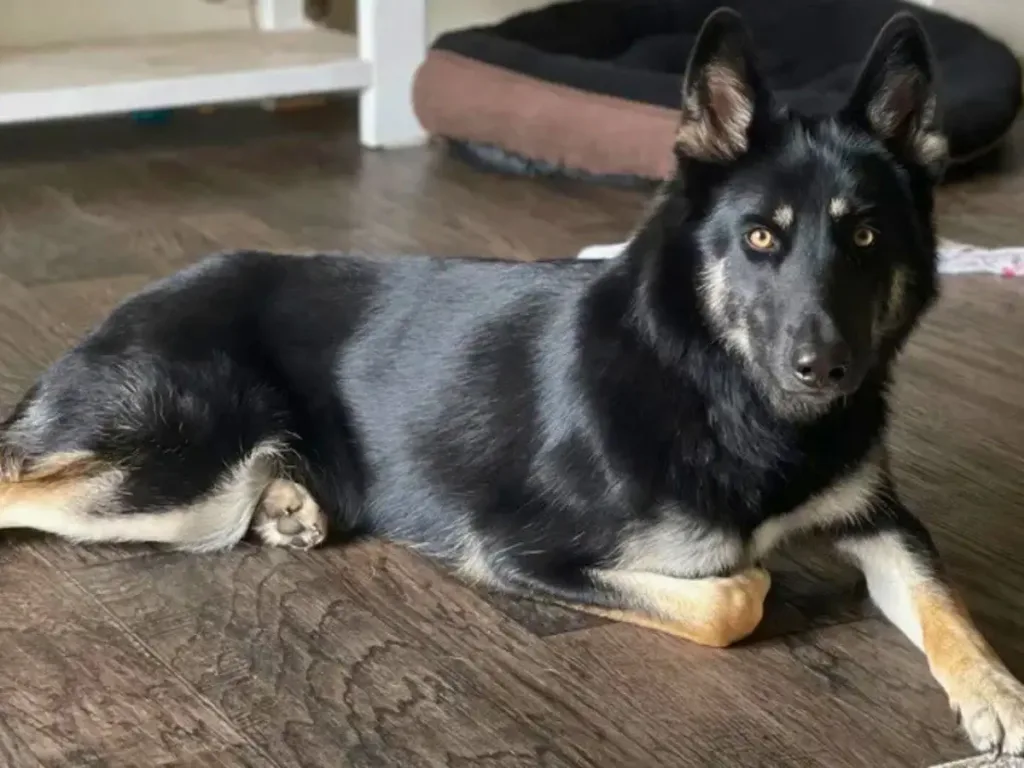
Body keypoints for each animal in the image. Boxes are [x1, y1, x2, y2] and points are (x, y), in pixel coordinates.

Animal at [2, 7, 1024, 765]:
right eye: (762, 237)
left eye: (866, 236)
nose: (826, 369)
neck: (719, 387)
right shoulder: (521, 551)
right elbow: (737, 595)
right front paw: (762, 581)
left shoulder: (883, 519)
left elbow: (946, 606)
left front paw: (1002, 694)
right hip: (184, 477)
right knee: (23, 486)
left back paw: (292, 505)